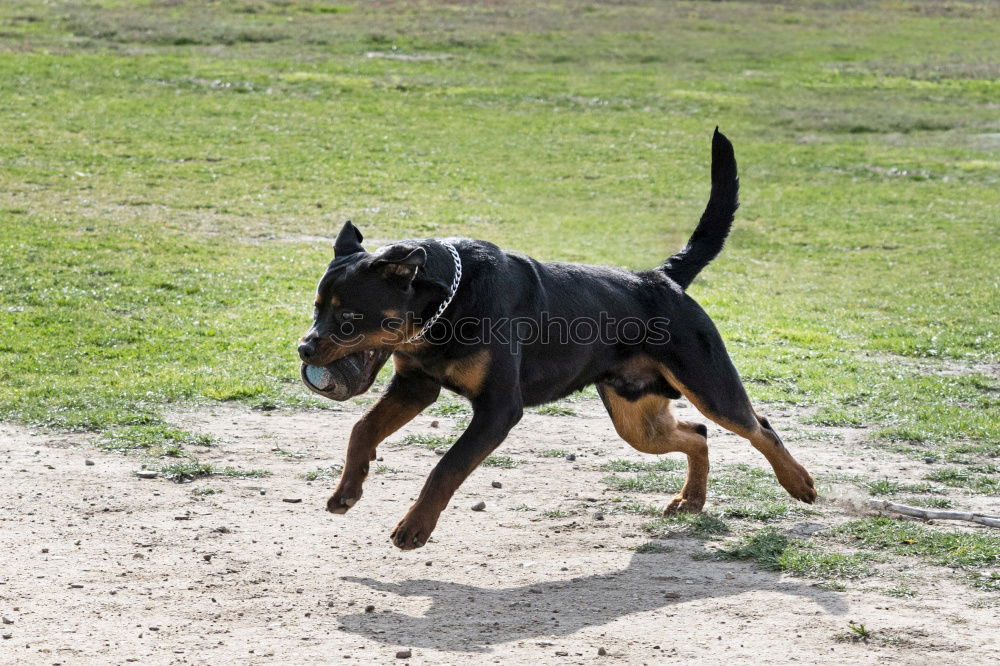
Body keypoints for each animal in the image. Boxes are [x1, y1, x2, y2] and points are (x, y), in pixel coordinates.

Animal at [296, 127, 812, 548]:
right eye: (317, 308)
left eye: (349, 317)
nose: (304, 346)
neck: (447, 306)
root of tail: (662, 278)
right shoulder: (415, 385)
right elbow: (363, 429)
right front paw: (347, 490)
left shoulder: (498, 409)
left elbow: (447, 467)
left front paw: (415, 527)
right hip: (636, 418)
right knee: (698, 434)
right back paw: (691, 500)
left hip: (708, 385)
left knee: (756, 425)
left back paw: (799, 483)